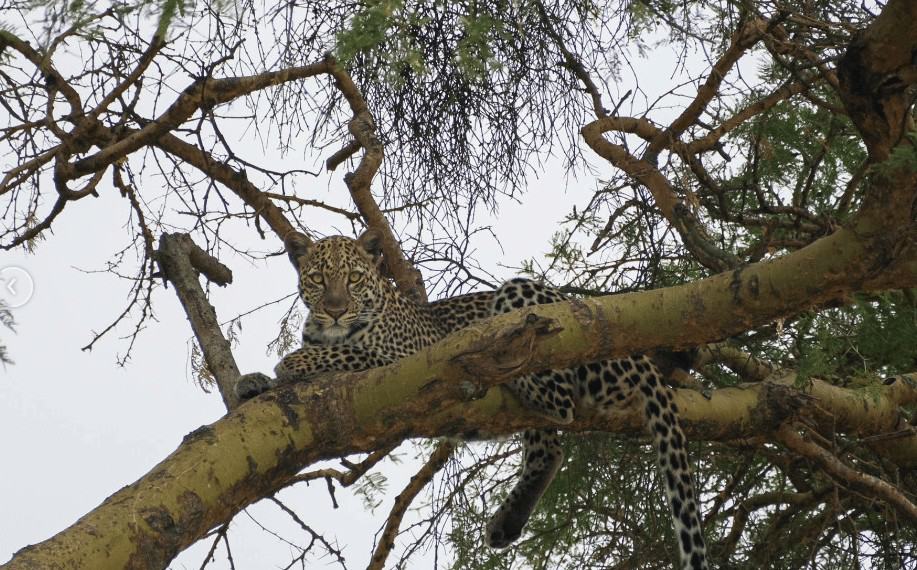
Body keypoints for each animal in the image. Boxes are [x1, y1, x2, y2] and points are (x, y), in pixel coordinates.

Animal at [234, 230, 708, 570]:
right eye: (317, 279)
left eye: (353, 278)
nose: (334, 309)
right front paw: (250, 382)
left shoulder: (403, 360)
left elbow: (348, 354)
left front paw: (293, 360)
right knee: (550, 446)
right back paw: (506, 523)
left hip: (525, 298)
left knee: (556, 398)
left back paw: (501, 351)